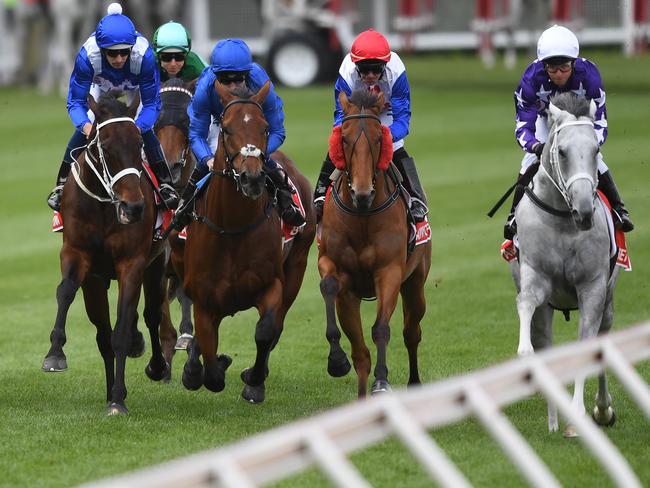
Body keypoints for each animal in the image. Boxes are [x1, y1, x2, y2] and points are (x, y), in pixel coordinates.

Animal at [43, 92, 170, 416]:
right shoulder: (80, 258)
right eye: (107, 148)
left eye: (139, 145)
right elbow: (66, 292)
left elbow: (122, 330)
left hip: (156, 266)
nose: (134, 207)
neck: (103, 204)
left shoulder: (132, 263)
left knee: (151, 315)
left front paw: (117, 401)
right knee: (104, 333)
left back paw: (156, 367)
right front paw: (55, 354)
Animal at [181, 81, 316, 404]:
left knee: (278, 323)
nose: (252, 178)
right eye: (227, 129)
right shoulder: (204, 297)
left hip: (298, 263)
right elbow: (210, 361)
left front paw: (253, 381)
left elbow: (266, 330)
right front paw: (201, 368)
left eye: (265, 127)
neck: (233, 228)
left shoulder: (272, 284)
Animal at [318, 89, 430, 398]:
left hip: (415, 281)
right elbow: (358, 352)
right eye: (344, 138)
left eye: (380, 138)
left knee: (411, 332)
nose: (362, 193)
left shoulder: (389, 271)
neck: (362, 216)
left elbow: (381, 328)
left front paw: (381, 383)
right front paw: (337, 360)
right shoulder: (338, 274)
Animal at [506, 93, 616, 436]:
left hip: (609, 299)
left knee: (603, 336)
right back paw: (554, 419)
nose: (584, 211)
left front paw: (580, 415)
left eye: (596, 149)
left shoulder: (593, 287)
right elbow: (526, 303)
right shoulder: (535, 275)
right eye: (563, 151)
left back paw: (602, 409)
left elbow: (588, 347)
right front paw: (524, 352)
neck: (564, 222)